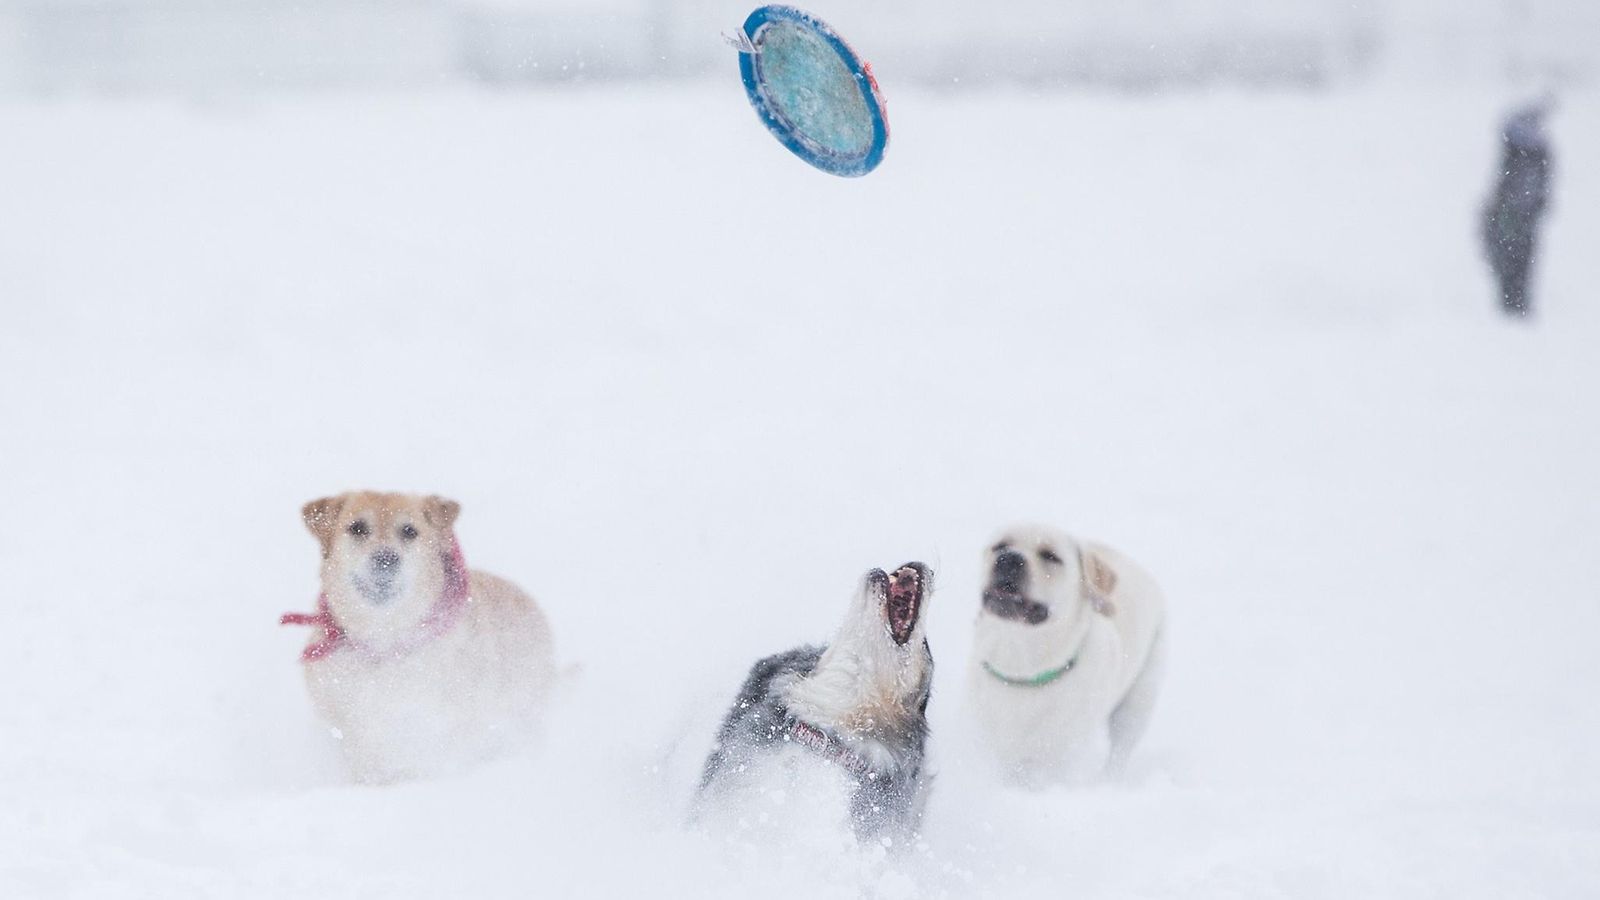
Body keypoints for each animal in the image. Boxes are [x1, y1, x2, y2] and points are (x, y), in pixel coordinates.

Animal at [960, 522, 1164, 781]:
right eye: (1000, 546)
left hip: (1138, 703)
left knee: (1119, 752)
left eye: (1050, 556)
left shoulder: (1054, 761)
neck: (1021, 665)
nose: (1009, 558)